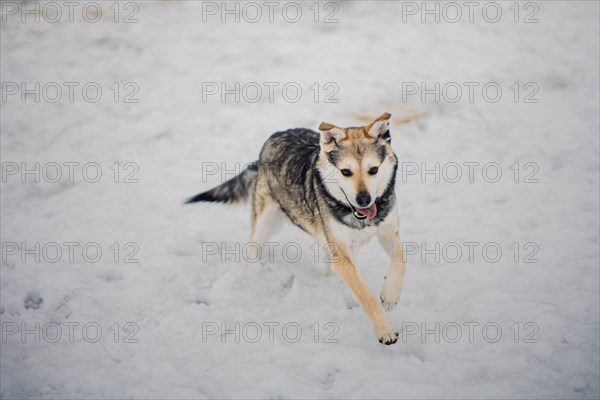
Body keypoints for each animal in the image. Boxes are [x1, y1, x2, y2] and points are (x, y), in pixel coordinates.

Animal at [185, 112, 406, 344]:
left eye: (373, 170)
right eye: (346, 172)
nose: (364, 200)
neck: (359, 216)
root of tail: (274, 137)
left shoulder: (388, 232)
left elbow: (401, 260)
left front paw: (390, 296)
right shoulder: (341, 253)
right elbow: (365, 294)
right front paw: (384, 329)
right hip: (264, 222)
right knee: (253, 251)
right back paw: (254, 277)